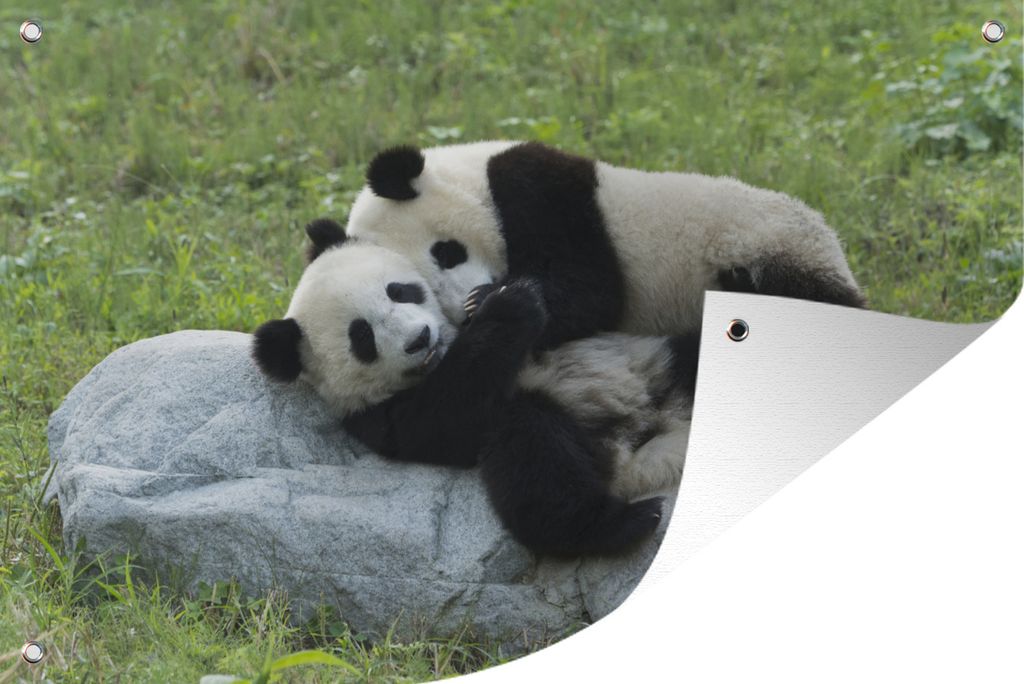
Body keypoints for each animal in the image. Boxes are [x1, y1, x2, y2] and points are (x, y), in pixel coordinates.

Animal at [252, 219, 697, 557]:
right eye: (362, 338)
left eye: (398, 291)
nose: (419, 339)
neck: (447, 349)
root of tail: (641, 448)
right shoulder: (376, 416)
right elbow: (442, 416)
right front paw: (510, 305)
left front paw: (493, 295)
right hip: (562, 426)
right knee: (536, 457)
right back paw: (624, 522)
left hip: (659, 364)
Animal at [344, 140, 865, 350]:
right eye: (417, 291)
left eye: (446, 251)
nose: (464, 309)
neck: (473, 176)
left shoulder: (543, 191)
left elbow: (591, 289)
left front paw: (489, 299)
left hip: (771, 248)